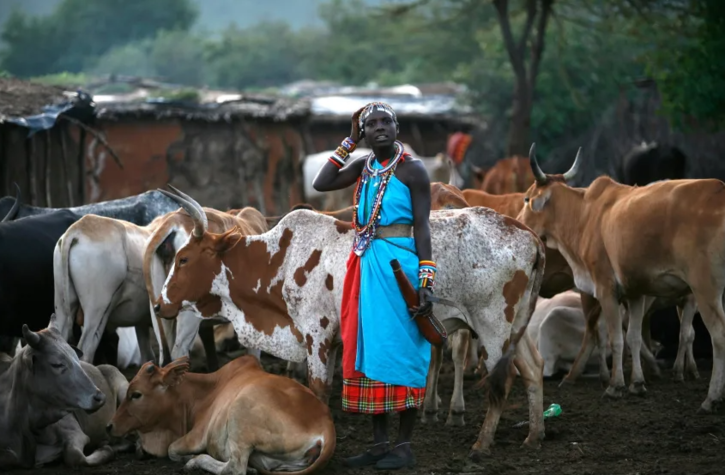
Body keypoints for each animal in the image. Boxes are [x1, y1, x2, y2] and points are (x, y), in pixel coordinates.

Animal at [107, 356, 336, 475]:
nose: (109, 426)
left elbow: (172, 450)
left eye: (136, 394)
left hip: (239, 412)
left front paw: (188, 458)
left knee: (235, 468)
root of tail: (326, 424)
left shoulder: (198, 435)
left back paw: (196, 461)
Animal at [153, 188, 544, 460]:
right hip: (516, 329)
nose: (158, 304)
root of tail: (529, 235)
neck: (281, 260)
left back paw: (481, 444)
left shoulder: (316, 335)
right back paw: (534, 434)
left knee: (501, 384)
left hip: (492, 325)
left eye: (184, 259)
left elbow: (317, 388)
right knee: (533, 370)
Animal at [516, 142, 724, 412]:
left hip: (705, 289)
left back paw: (711, 397)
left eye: (527, 198)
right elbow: (633, 337)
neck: (585, 215)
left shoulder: (606, 289)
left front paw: (615, 386)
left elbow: (616, 339)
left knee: (718, 337)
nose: (516, 222)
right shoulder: (635, 293)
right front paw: (637, 383)